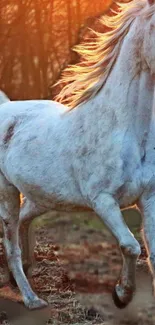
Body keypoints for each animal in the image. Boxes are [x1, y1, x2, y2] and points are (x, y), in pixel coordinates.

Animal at [0, 0, 155, 308]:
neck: (125, 128)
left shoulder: (149, 197)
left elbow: (153, 253)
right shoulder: (103, 200)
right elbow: (131, 246)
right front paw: (121, 294)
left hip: (43, 197)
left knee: (24, 221)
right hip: (7, 192)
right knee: (11, 244)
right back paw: (31, 298)